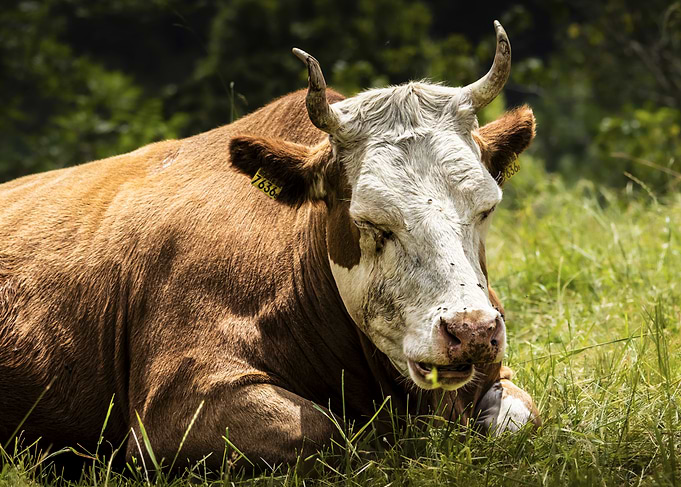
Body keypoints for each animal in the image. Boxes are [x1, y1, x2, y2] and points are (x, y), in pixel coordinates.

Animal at [0, 21, 539, 473]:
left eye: (486, 208)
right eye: (369, 220)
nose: (472, 330)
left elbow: (520, 418)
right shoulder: (175, 408)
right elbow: (324, 431)